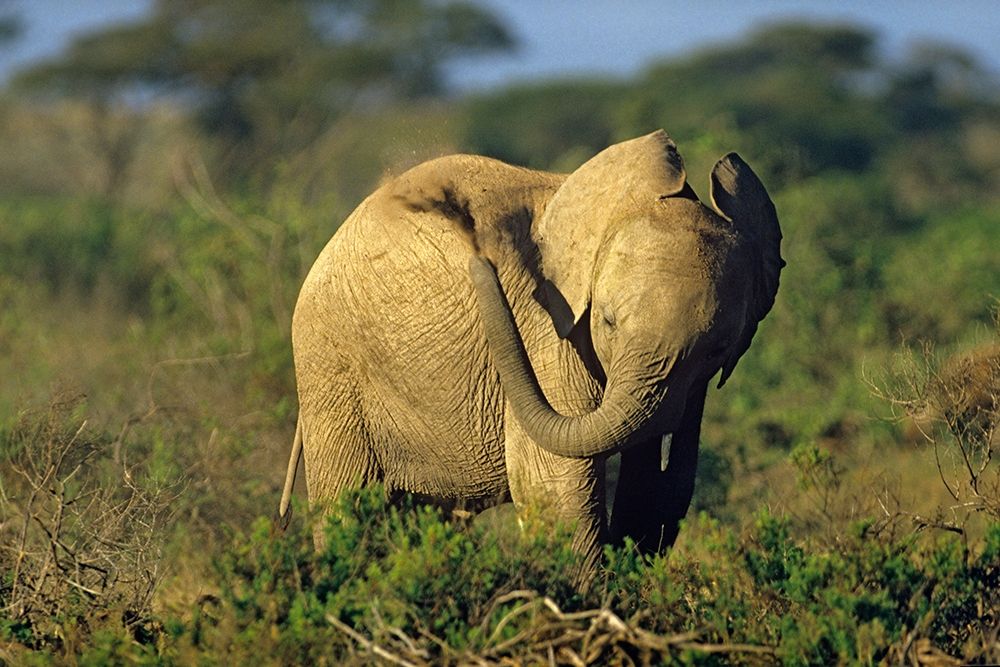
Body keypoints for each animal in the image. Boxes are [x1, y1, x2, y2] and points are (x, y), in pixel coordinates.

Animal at [279, 130, 784, 563]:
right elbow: (553, 484)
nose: (479, 261)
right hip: (328, 364)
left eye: (717, 350)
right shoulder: (544, 326)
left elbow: (656, 491)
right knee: (348, 504)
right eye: (607, 322)